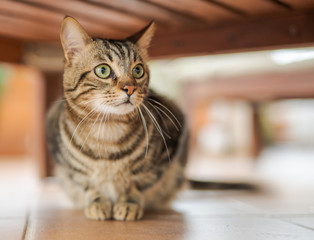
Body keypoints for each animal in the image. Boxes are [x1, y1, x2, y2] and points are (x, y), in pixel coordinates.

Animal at [46, 15, 189, 220]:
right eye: (103, 70)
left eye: (138, 70)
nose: (130, 88)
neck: (107, 131)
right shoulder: (69, 168)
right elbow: (87, 184)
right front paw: (98, 203)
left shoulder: (166, 155)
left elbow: (138, 183)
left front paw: (129, 203)